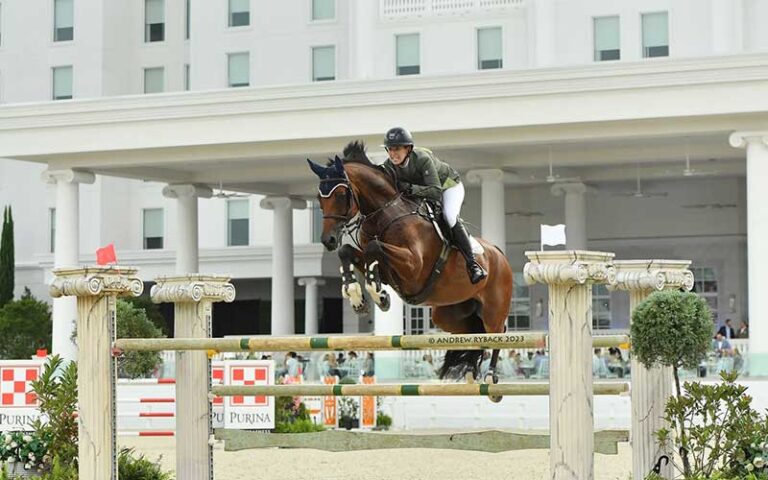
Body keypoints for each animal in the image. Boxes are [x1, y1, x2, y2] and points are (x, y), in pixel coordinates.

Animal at [304, 141, 512, 388]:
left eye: (341, 194)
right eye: (319, 198)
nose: (328, 240)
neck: (384, 212)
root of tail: (499, 254)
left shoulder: (413, 267)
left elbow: (375, 247)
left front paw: (378, 295)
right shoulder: (387, 268)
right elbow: (349, 252)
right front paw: (357, 297)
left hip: (493, 308)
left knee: (498, 332)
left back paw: (490, 375)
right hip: (448, 314)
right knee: (473, 332)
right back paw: (471, 370)